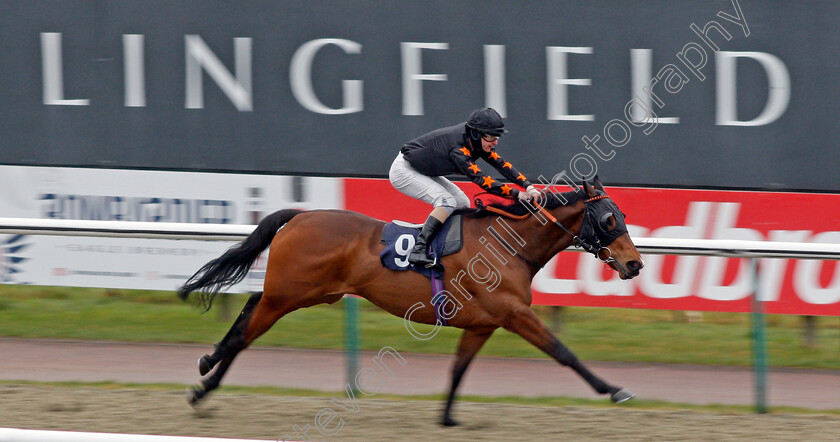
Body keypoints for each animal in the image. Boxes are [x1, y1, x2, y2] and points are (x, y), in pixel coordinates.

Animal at [180, 178, 644, 426]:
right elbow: (563, 352)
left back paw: (205, 377)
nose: (635, 263)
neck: (508, 245)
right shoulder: (514, 313)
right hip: (290, 293)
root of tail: (301, 214)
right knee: (247, 331)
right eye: (608, 219)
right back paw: (204, 379)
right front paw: (615, 389)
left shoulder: (483, 323)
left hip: (306, 292)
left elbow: (459, 369)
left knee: (249, 310)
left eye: (623, 215)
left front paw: (447, 417)